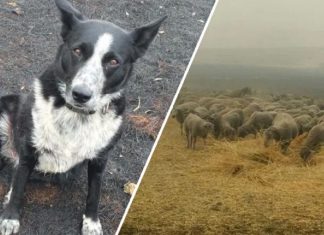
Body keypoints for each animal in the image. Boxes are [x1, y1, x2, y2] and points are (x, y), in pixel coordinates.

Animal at [0, 0, 166, 234]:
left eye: (113, 61)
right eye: (77, 50)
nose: (81, 94)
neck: (75, 115)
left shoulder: (100, 159)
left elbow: (94, 194)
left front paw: (91, 222)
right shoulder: (29, 148)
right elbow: (19, 186)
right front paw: (10, 217)